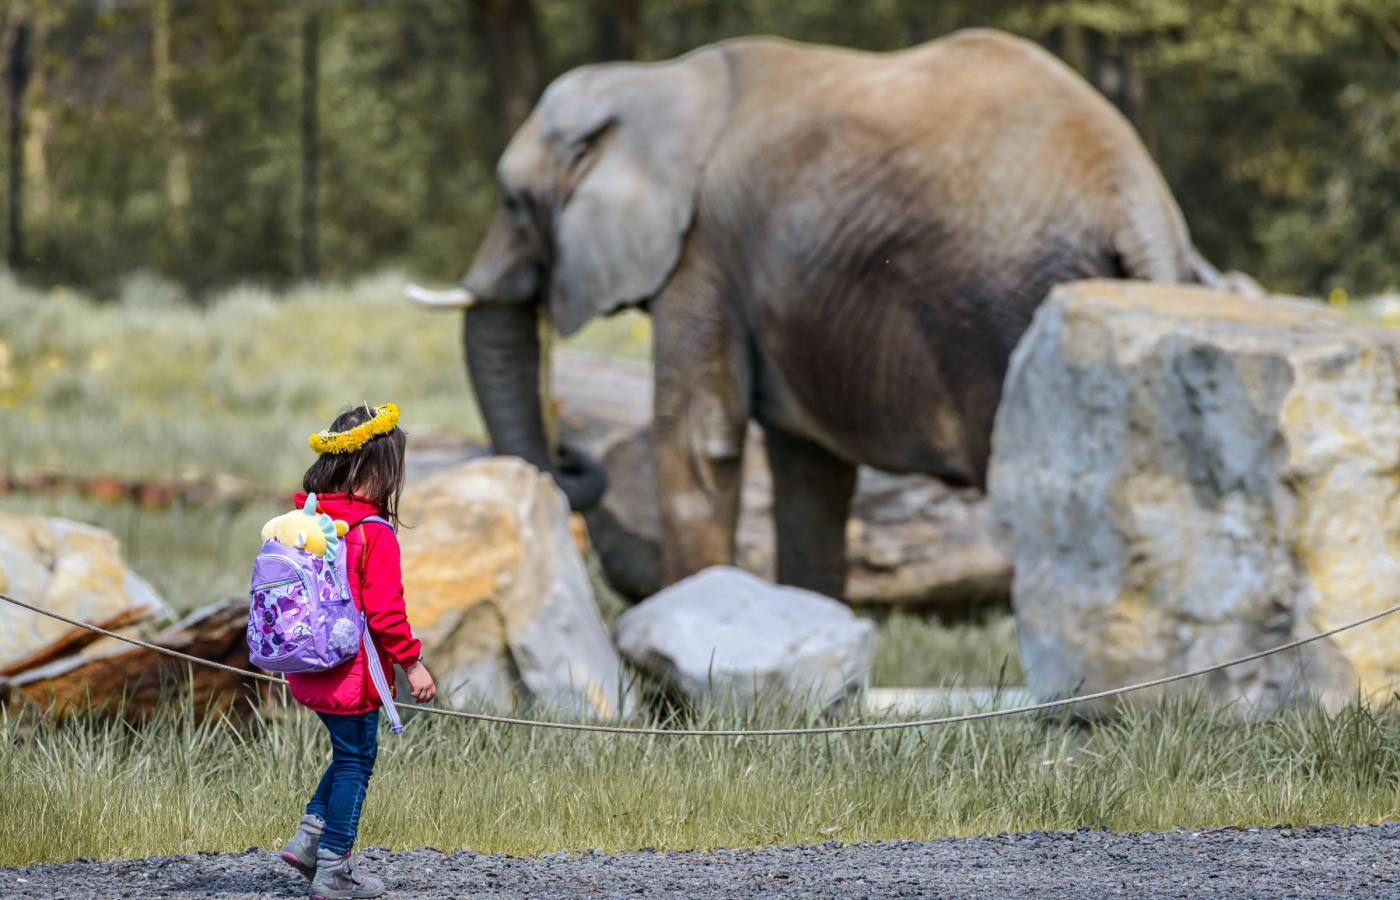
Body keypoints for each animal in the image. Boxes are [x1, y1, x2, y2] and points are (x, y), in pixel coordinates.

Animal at [411, 29, 1226, 604]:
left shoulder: (702, 249)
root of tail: (1144, 207)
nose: (569, 450)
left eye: (512, 202)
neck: (661, 81)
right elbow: (810, 474)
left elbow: (699, 445)